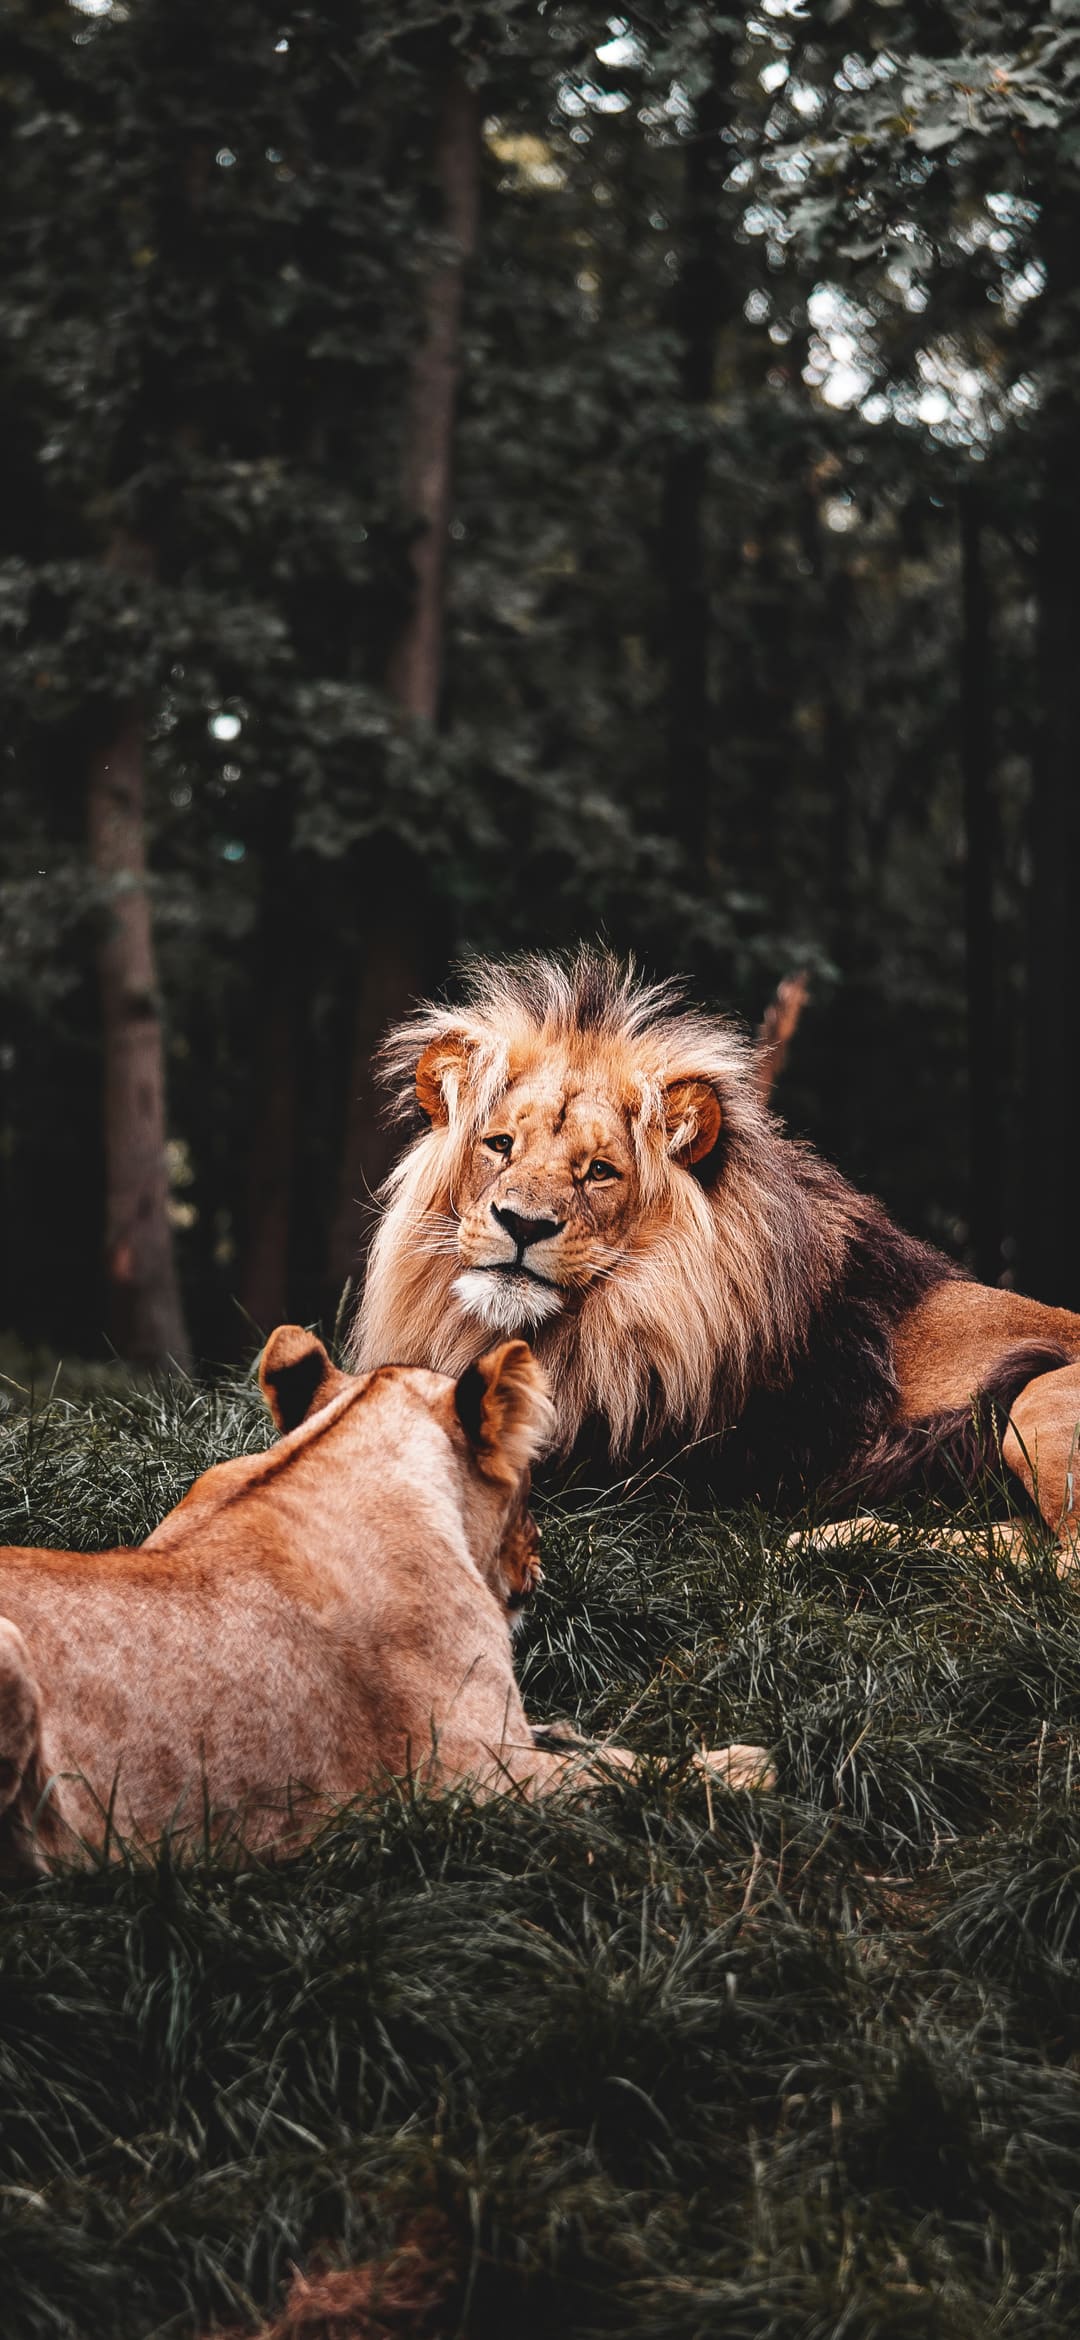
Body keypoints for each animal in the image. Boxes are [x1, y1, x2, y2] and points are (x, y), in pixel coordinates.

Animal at [0, 1327, 769, 1874]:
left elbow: (590, 1744)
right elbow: (624, 1773)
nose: (540, 1564)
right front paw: (746, 1765)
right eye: (528, 1488)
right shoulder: (476, 1784)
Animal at [352, 950, 1080, 1545]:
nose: (522, 1224)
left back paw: (830, 1541)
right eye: (499, 1145)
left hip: (1038, 1399)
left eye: (599, 1171)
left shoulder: (629, 1473)